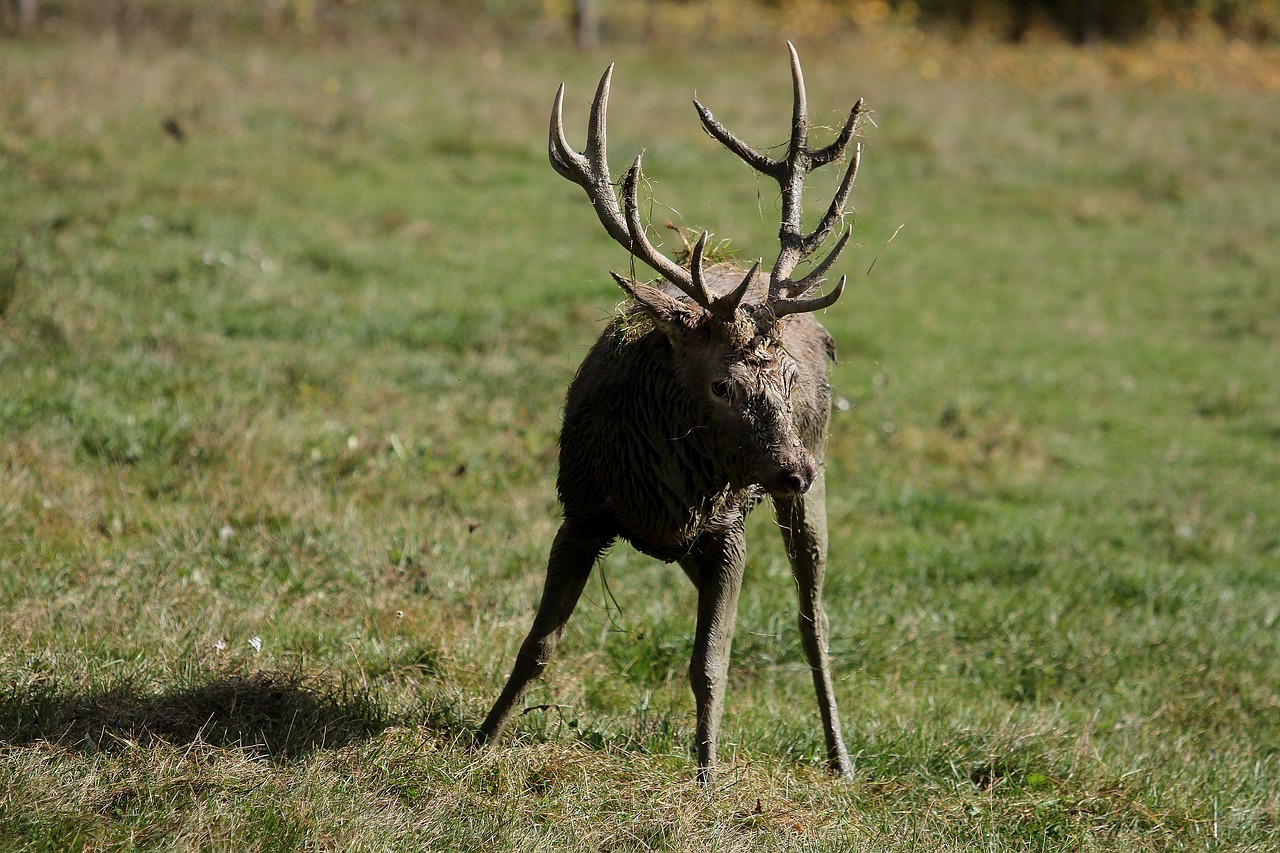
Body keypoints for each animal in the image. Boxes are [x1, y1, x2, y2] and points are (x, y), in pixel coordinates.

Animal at [476, 41, 865, 783]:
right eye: (720, 386)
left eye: (787, 377)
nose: (795, 468)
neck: (658, 490)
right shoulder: (582, 509)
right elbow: (537, 645)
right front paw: (481, 737)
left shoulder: (729, 528)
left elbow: (710, 663)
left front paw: (707, 771)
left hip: (807, 492)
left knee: (815, 618)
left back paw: (841, 756)